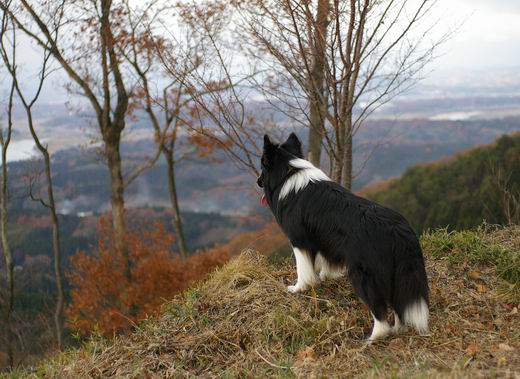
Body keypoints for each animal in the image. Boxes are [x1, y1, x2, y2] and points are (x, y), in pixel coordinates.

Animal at [256, 134, 430, 342]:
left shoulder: (299, 241)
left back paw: (374, 337)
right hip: (397, 274)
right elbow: (325, 260)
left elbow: (303, 269)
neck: (290, 172)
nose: (257, 181)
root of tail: (397, 230)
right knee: (398, 304)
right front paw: (325, 275)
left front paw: (299, 288)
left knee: (379, 309)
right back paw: (398, 329)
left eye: (262, 167)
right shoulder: (323, 241)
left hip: (363, 274)